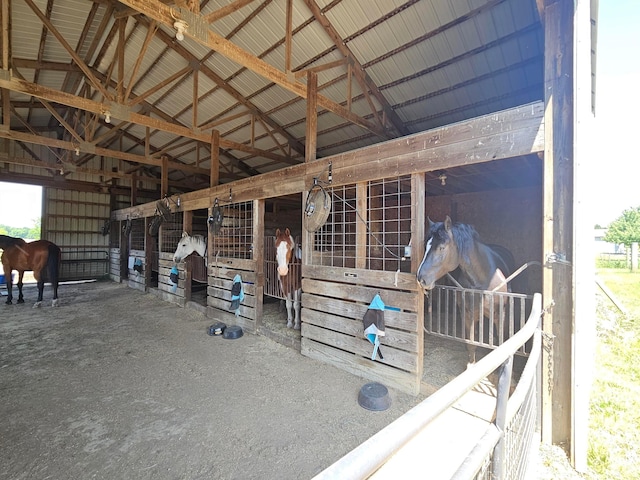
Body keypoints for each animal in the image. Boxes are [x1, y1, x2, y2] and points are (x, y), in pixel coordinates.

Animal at [416, 218, 516, 364]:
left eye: (442, 247)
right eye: (426, 247)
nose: (420, 279)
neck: (482, 281)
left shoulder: (499, 314)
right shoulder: (467, 314)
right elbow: (471, 342)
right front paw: (471, 364)